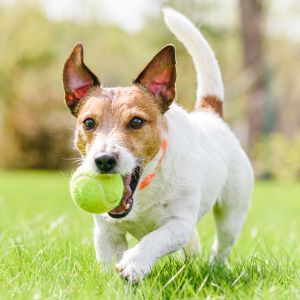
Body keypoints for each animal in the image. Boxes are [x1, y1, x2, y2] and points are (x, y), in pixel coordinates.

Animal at [62, 8, 253, 282]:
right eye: (88, 122)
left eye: (136, 121)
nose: (104, 160)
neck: (144, 188)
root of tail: (210, 115)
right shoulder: (106, 233)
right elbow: (110, 259)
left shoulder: (179, 223)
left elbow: (155, 239)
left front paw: (135, 262)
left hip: (232, 212)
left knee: (222, 246)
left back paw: (214, 268)